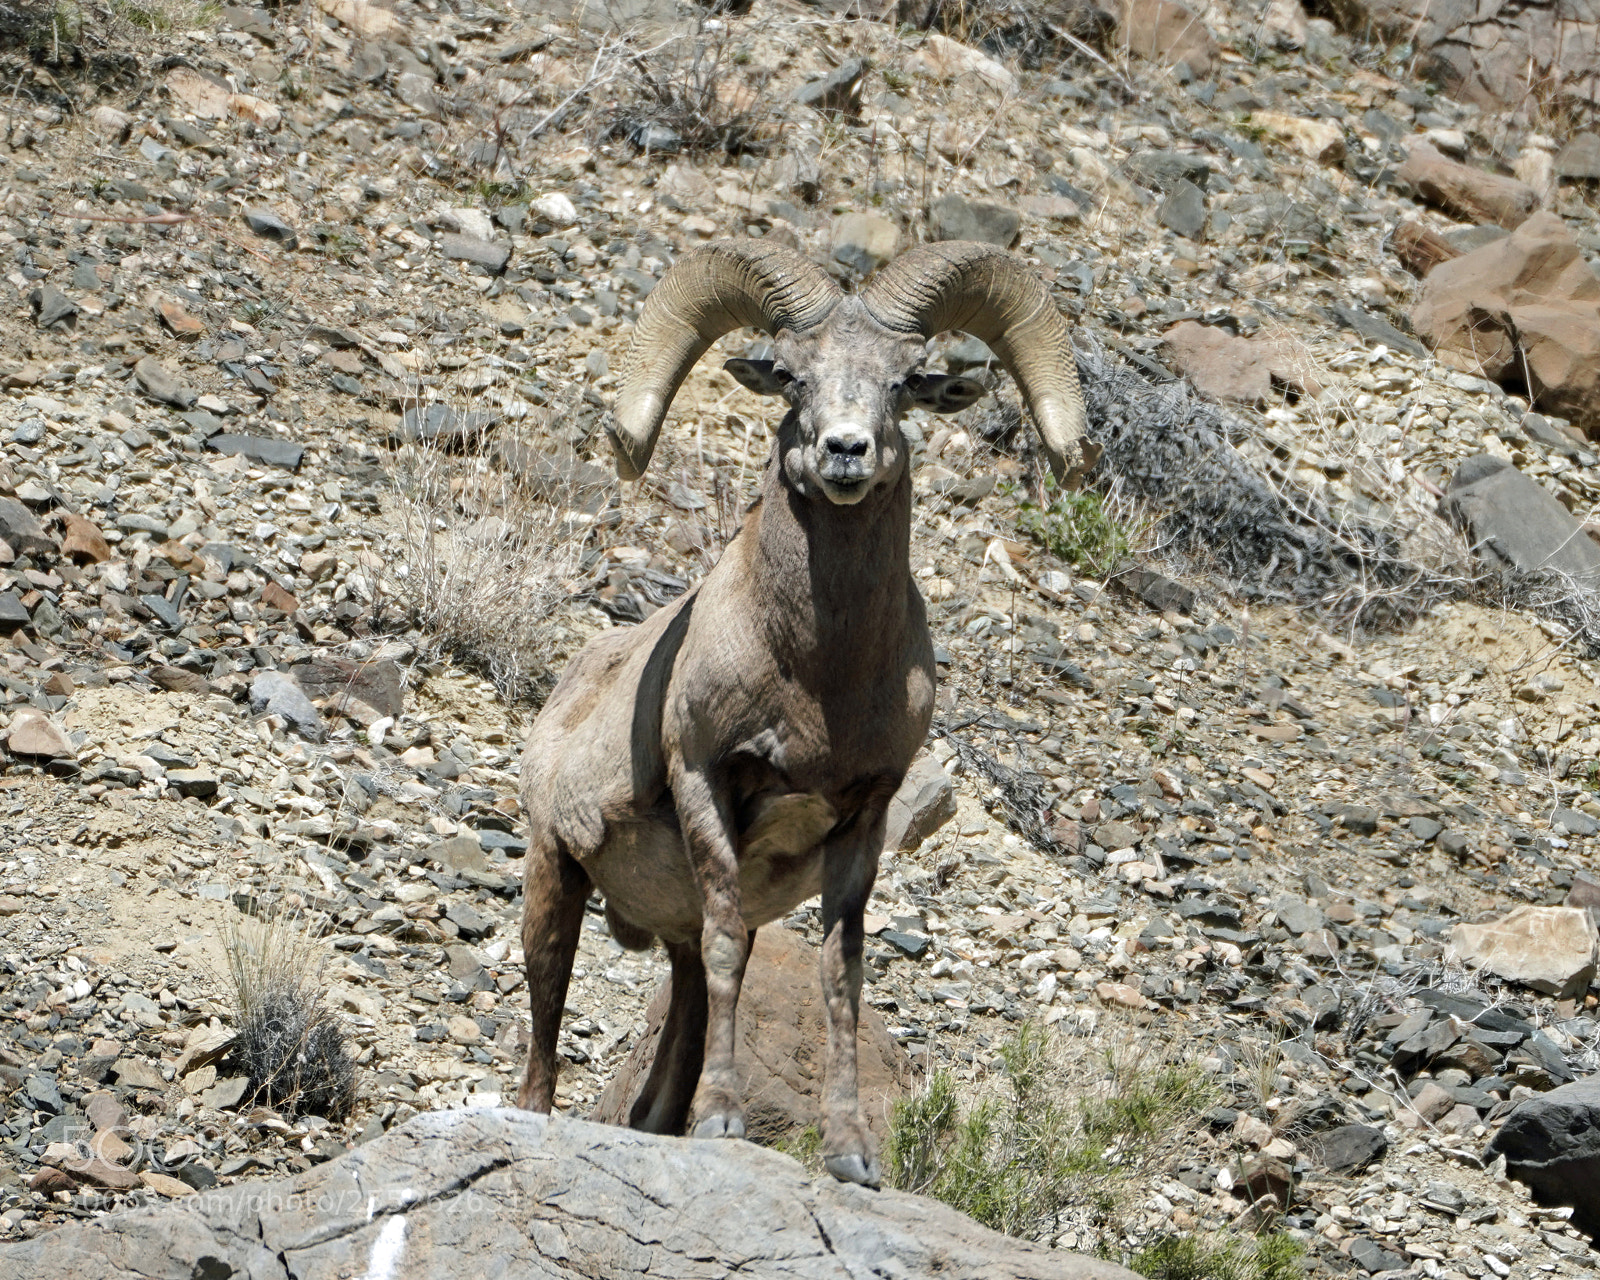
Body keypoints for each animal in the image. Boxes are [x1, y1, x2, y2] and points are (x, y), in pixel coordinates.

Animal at [516, 238, 1099, 1186]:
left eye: (905, 381)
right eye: (792, 378)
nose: (845, 451)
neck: (816, 679)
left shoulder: (862, 820)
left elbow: (840, 978)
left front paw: (851, 1155)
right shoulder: (707, 784)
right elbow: (727, 944)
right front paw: (723, 1123)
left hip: (661, 932)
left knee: (680, 1019)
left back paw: (662, 1126)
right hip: (552, 874)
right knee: (547, 1012)